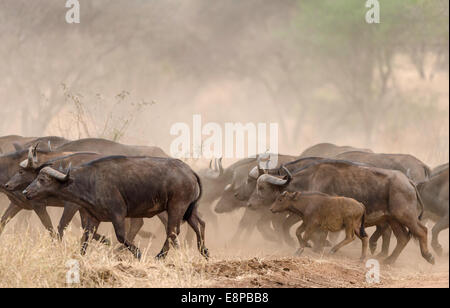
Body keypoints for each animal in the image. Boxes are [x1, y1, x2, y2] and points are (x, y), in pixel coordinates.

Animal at [23, 156, 208, 260]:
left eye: (42, 179)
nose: (26, 192)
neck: (90, 181)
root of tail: (190, 171)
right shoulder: (94, 218)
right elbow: (85, 238)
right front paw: (79, 256)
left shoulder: (118, 214)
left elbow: (120, 236)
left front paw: (138, 253)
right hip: (189, 210)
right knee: (199, 224)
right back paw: (204, 251)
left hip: (176, 206)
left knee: (172, 231)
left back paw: (160, 256)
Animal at [248, 159, 434, 264]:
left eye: (261, 187)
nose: (250, 204)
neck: (309, 180)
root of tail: (408, 182)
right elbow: (291, 228)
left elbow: (313, 234)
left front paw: (316, 246)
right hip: (393, 219)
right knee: (403, 238)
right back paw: (389, 260)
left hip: (405, 215)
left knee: (422, 231)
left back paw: (428, 256)